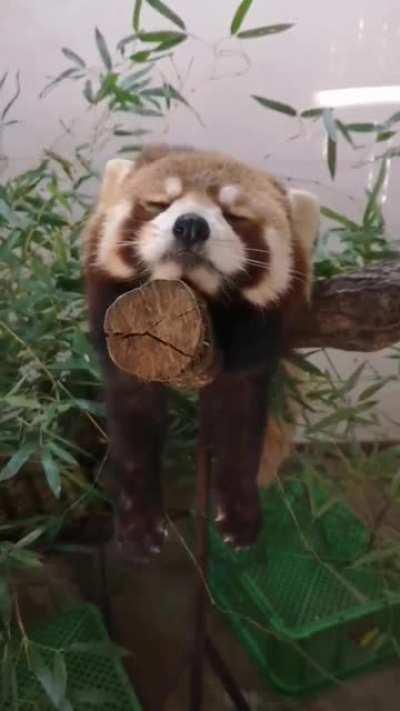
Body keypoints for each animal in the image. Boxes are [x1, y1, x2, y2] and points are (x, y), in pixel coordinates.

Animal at [84, 144, 319, 562]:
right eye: (158, 204)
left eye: (235, 215)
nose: (191, 225)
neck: (196, 293)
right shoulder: (127, 338)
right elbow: (133, 422)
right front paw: (138, 524)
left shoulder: (253, 341)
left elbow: (240, 421)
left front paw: (240, 513)